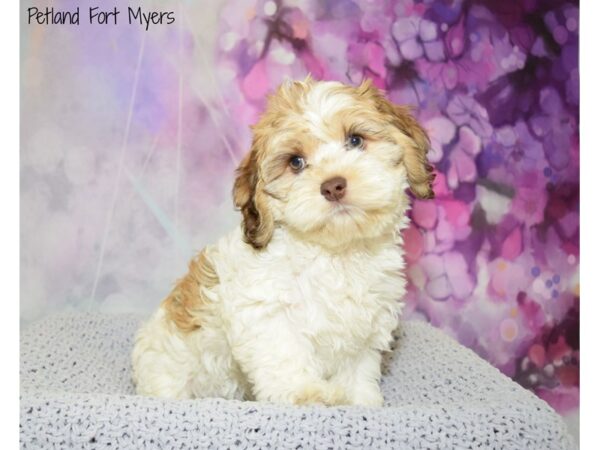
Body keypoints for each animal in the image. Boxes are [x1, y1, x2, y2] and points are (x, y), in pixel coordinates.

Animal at [131, 77, 434, 408]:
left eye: (355, 140)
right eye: (296, 162)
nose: (333, 186)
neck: (336, 251)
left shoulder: (366, 320)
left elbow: (357, 366)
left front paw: (359, 398)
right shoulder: (268, 313)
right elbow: (286, 354)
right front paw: (306, 392)